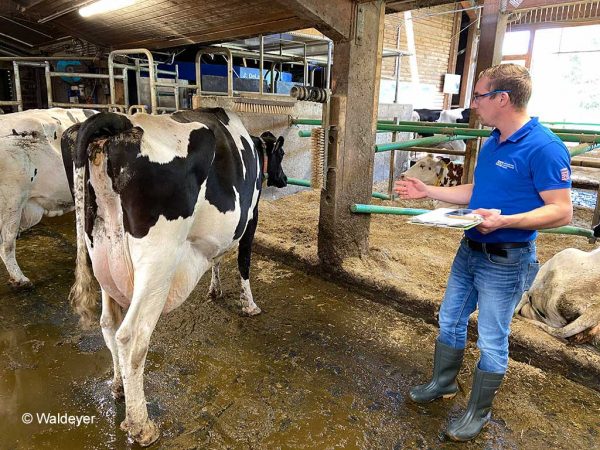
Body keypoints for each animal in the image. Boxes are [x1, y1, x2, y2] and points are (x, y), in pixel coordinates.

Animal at [62, 107, 288, 444]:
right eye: (282, 154)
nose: (284, 179)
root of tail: (117, 121)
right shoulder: (251, 219)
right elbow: (244, 263)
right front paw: (249, 305)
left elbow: (217, 258)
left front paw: (215, 290)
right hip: (157, 264)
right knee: (132, 336)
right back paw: (141, 425)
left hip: (102, 255)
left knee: (108, 323)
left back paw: (118, 387)